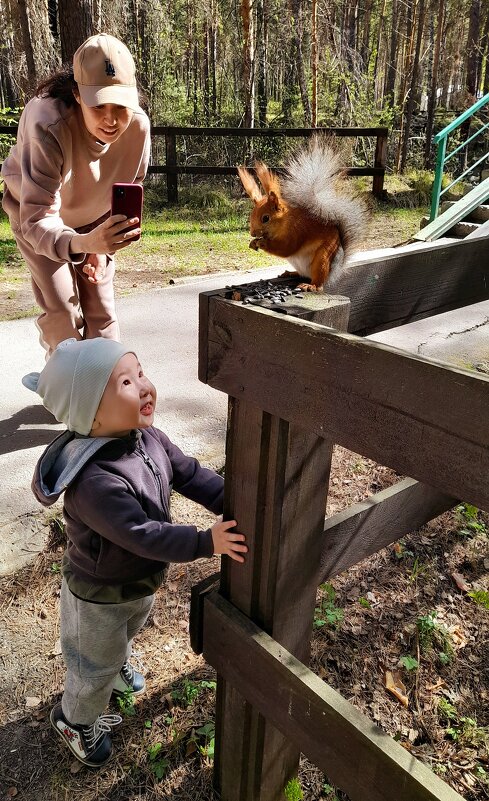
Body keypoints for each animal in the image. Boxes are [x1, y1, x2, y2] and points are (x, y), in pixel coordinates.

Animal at [238, 139, 368, 292]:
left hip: (322, 258)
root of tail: (333, 272)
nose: (253, 233)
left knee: (318, 282)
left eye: (266, 218)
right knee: (303, 274)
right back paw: (291, 272)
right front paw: (253, 242)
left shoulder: (298, 230)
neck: (284, 222)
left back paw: (311, 285)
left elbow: (287, 248)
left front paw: (262, 242)